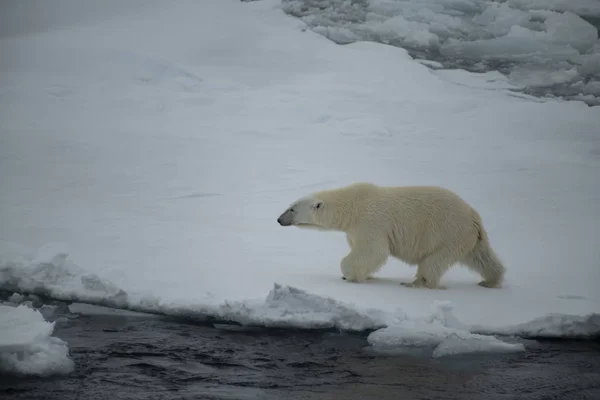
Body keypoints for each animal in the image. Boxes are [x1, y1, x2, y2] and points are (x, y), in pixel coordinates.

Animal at [278, 183, 506, 290]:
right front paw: (365, 275)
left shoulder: (370, 221)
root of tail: (474, 216)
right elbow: (362, 251)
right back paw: (490, 280)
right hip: (468, 237)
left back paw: (416, 283)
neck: (352, 206)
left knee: (434, 261)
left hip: (449, 233)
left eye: (292, 209)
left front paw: (349, 275)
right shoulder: (353, 229)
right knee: (481, 257)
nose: (279, 220)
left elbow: (373, 251)